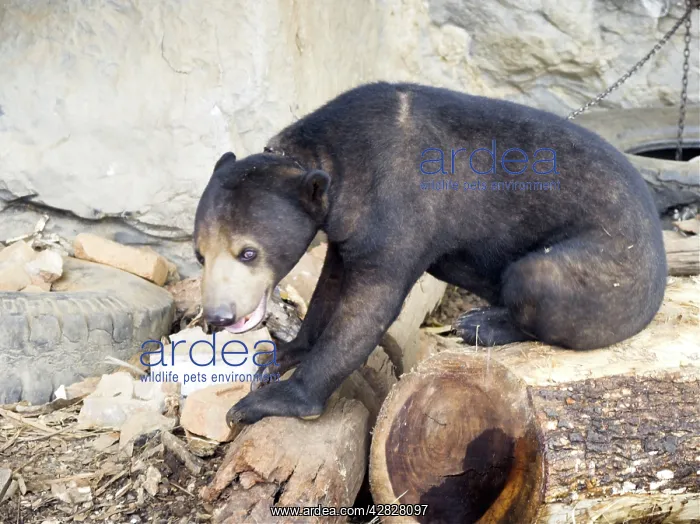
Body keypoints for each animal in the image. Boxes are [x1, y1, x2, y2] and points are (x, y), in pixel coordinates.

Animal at [193, 82, 667, 425]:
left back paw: (480, 324)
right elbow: (330, 284)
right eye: (199, 255)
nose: (217, 318)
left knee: (539, 279)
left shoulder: (395, 208)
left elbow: (367, 308)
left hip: (602, 270)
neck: (323, 161)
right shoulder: (345, 228)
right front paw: (285, 353)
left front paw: (268, 402)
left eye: (248, 253)